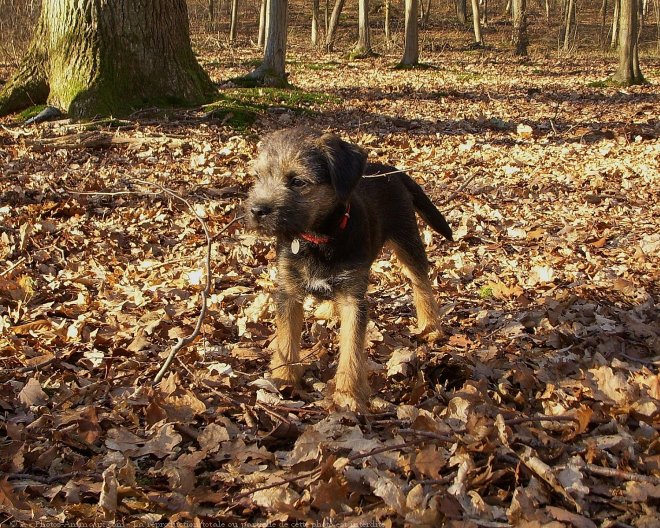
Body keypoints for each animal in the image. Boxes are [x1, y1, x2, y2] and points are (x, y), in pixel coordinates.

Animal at [248, 128, 454, 412]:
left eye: (298, 182)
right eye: (258, 176)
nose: (257, 210)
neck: (318, 238)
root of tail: (391, 170)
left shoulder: (353, 299)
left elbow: (351, 348)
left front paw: (348, 394)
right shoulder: (288, 292)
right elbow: (286, 338)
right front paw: (284, 377)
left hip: (407, 240)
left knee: (421, 282)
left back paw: (430, 325)